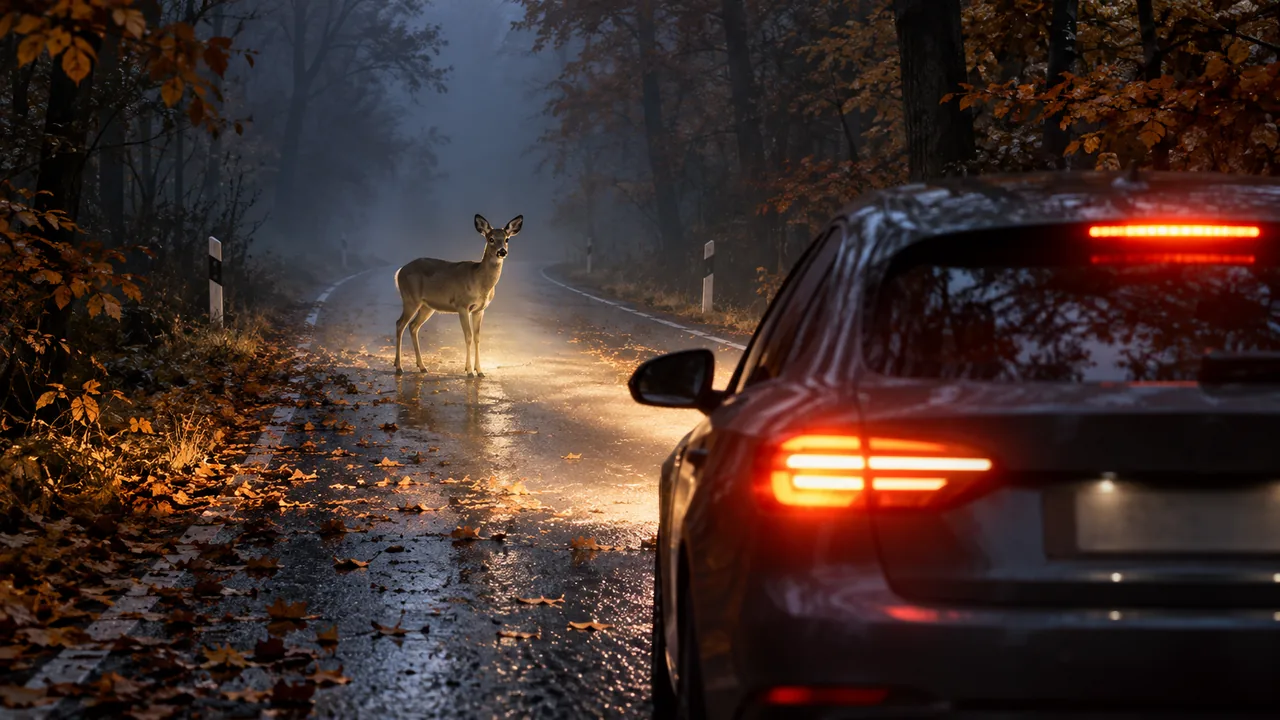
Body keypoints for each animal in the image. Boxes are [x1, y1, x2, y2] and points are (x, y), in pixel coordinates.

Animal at [393, 214, 523, 377]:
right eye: (491, 239)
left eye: (507, 239)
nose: (502, 252)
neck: (479, 281)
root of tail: (399, 271)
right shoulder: (462, 305)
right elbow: (468, 336)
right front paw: (469, 371)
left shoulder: (480, 310)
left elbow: (477, 337)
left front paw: (480, 371)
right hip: (410, 299)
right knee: (400, 324)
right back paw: (398, 367)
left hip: (427, 306)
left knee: (413, 326)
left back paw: (422, 366)